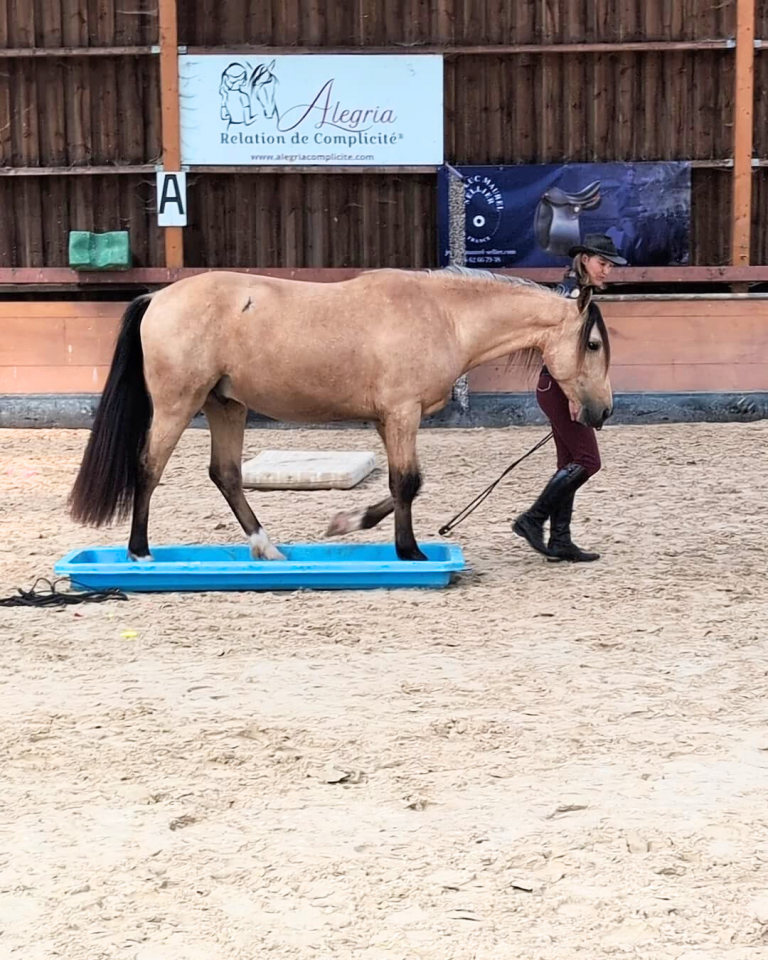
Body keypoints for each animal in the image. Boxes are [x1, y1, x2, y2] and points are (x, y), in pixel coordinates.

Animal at [68, 266, 612, 563]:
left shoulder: (388, 420)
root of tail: (157, 296)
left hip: (227, 405)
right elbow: (407, 483)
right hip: (178, 405)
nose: (602, 411)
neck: (443, 315)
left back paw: (267, 548)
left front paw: (347, 523)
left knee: (225, 474)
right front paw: (409, 551)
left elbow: (404, 485)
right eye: (593, 344)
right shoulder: (402, 414)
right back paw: (139, 551)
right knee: (149, 468)